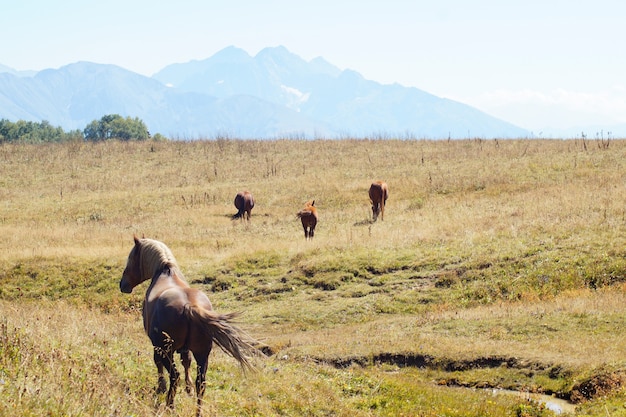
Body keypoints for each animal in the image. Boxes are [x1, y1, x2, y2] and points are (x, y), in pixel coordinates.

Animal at [119, 236, 256, 414]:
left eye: (130, 258)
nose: (123, 285)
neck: (165, 273)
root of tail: (190, 306)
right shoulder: (186, 350)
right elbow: (187, 362)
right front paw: (188, 387)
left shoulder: (157, 346)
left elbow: (159, 364)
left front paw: (161, 387)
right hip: (203, 354)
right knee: (201, 384)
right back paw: (197, 411)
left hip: (167, 351)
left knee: (174, 377)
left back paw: (170, 406)